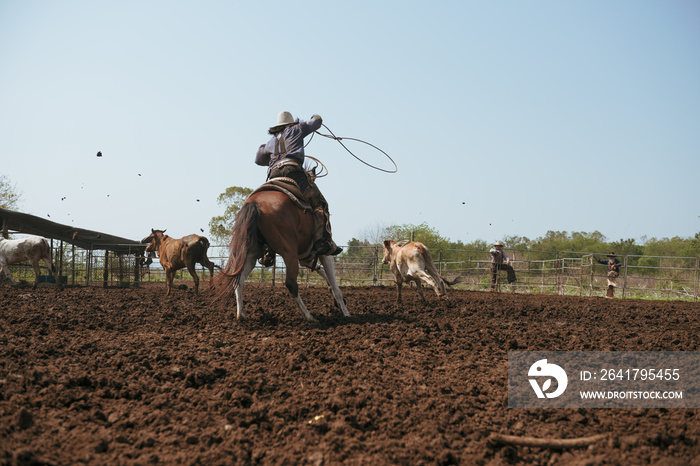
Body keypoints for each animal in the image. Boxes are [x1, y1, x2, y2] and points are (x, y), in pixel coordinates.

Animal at [216, 189, 350, 320]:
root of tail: (254, 204)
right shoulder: (324, 254)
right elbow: (334, 283)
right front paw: (346, 312)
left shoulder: (305, 258)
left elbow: (322, 271)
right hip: (289, 253)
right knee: (291, 284)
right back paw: (309, 317)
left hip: (251, 254)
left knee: (238, 280)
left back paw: (241, 315)